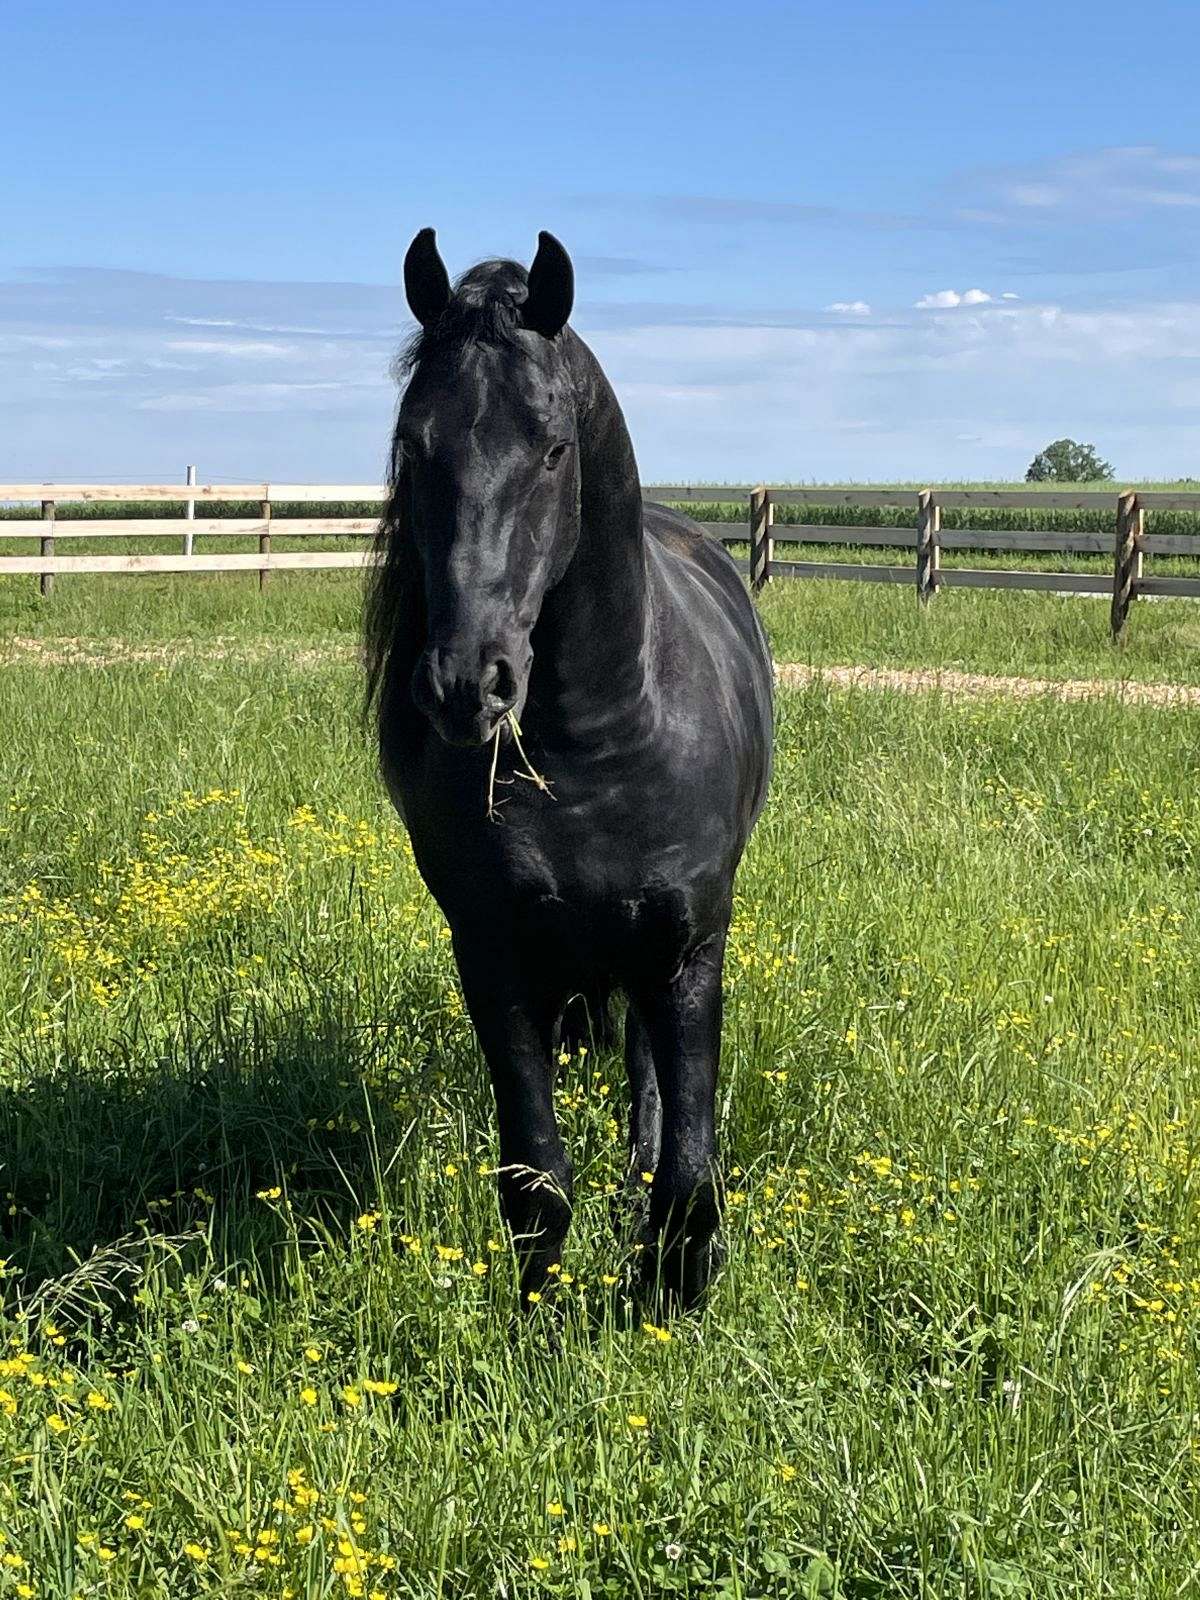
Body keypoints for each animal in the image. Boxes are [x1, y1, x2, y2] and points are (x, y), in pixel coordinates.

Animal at [366, 232, 774, 1305]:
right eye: (416, 446)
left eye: (553, 447)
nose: (466, 683)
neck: (599, 746)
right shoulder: (495, 956)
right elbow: (535, 1179)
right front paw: (541, 1317)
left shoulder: (688, 949)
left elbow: (688, 1179)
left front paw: (667, 1305)